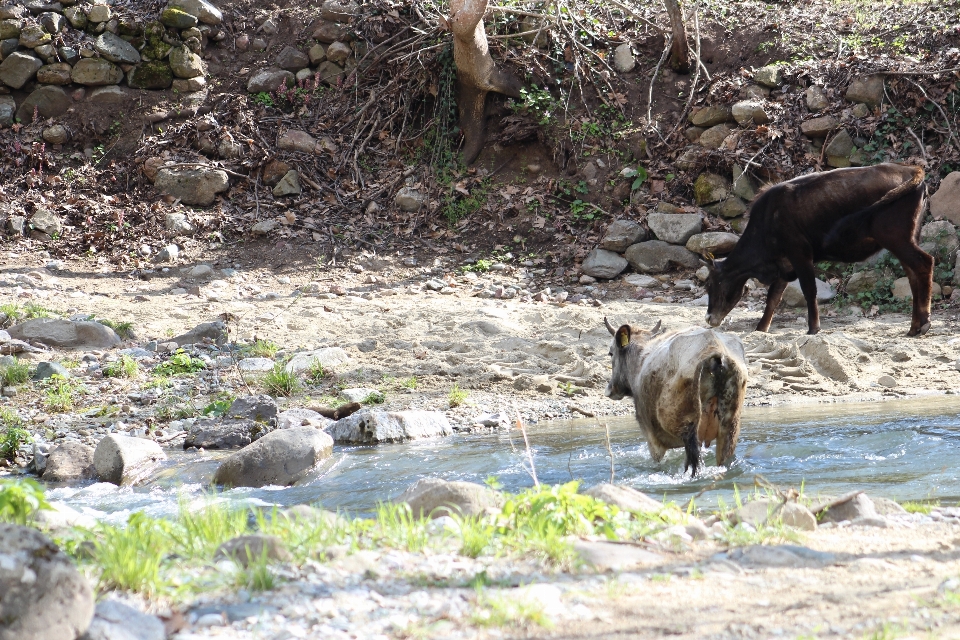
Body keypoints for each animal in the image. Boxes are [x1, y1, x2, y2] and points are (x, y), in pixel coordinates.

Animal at [600, 318, 752, 476]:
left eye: (611, 353)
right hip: (729, 429)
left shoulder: (652, 438)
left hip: (689, 432)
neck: (640, 361)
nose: (609, 390)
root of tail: (716, 352)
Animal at [700, 162, 932, 338]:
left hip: (896, 238)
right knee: (913, 275)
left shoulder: (800, 253)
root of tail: (911, 170)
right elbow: (773, 297)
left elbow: (809, 290)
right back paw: (914, 327)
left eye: (711, 283)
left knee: (924, 263)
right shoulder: (785, 263)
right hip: (905, 240)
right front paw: (761, 328)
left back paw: (925, 323)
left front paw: (813, 328)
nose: (709, 318)